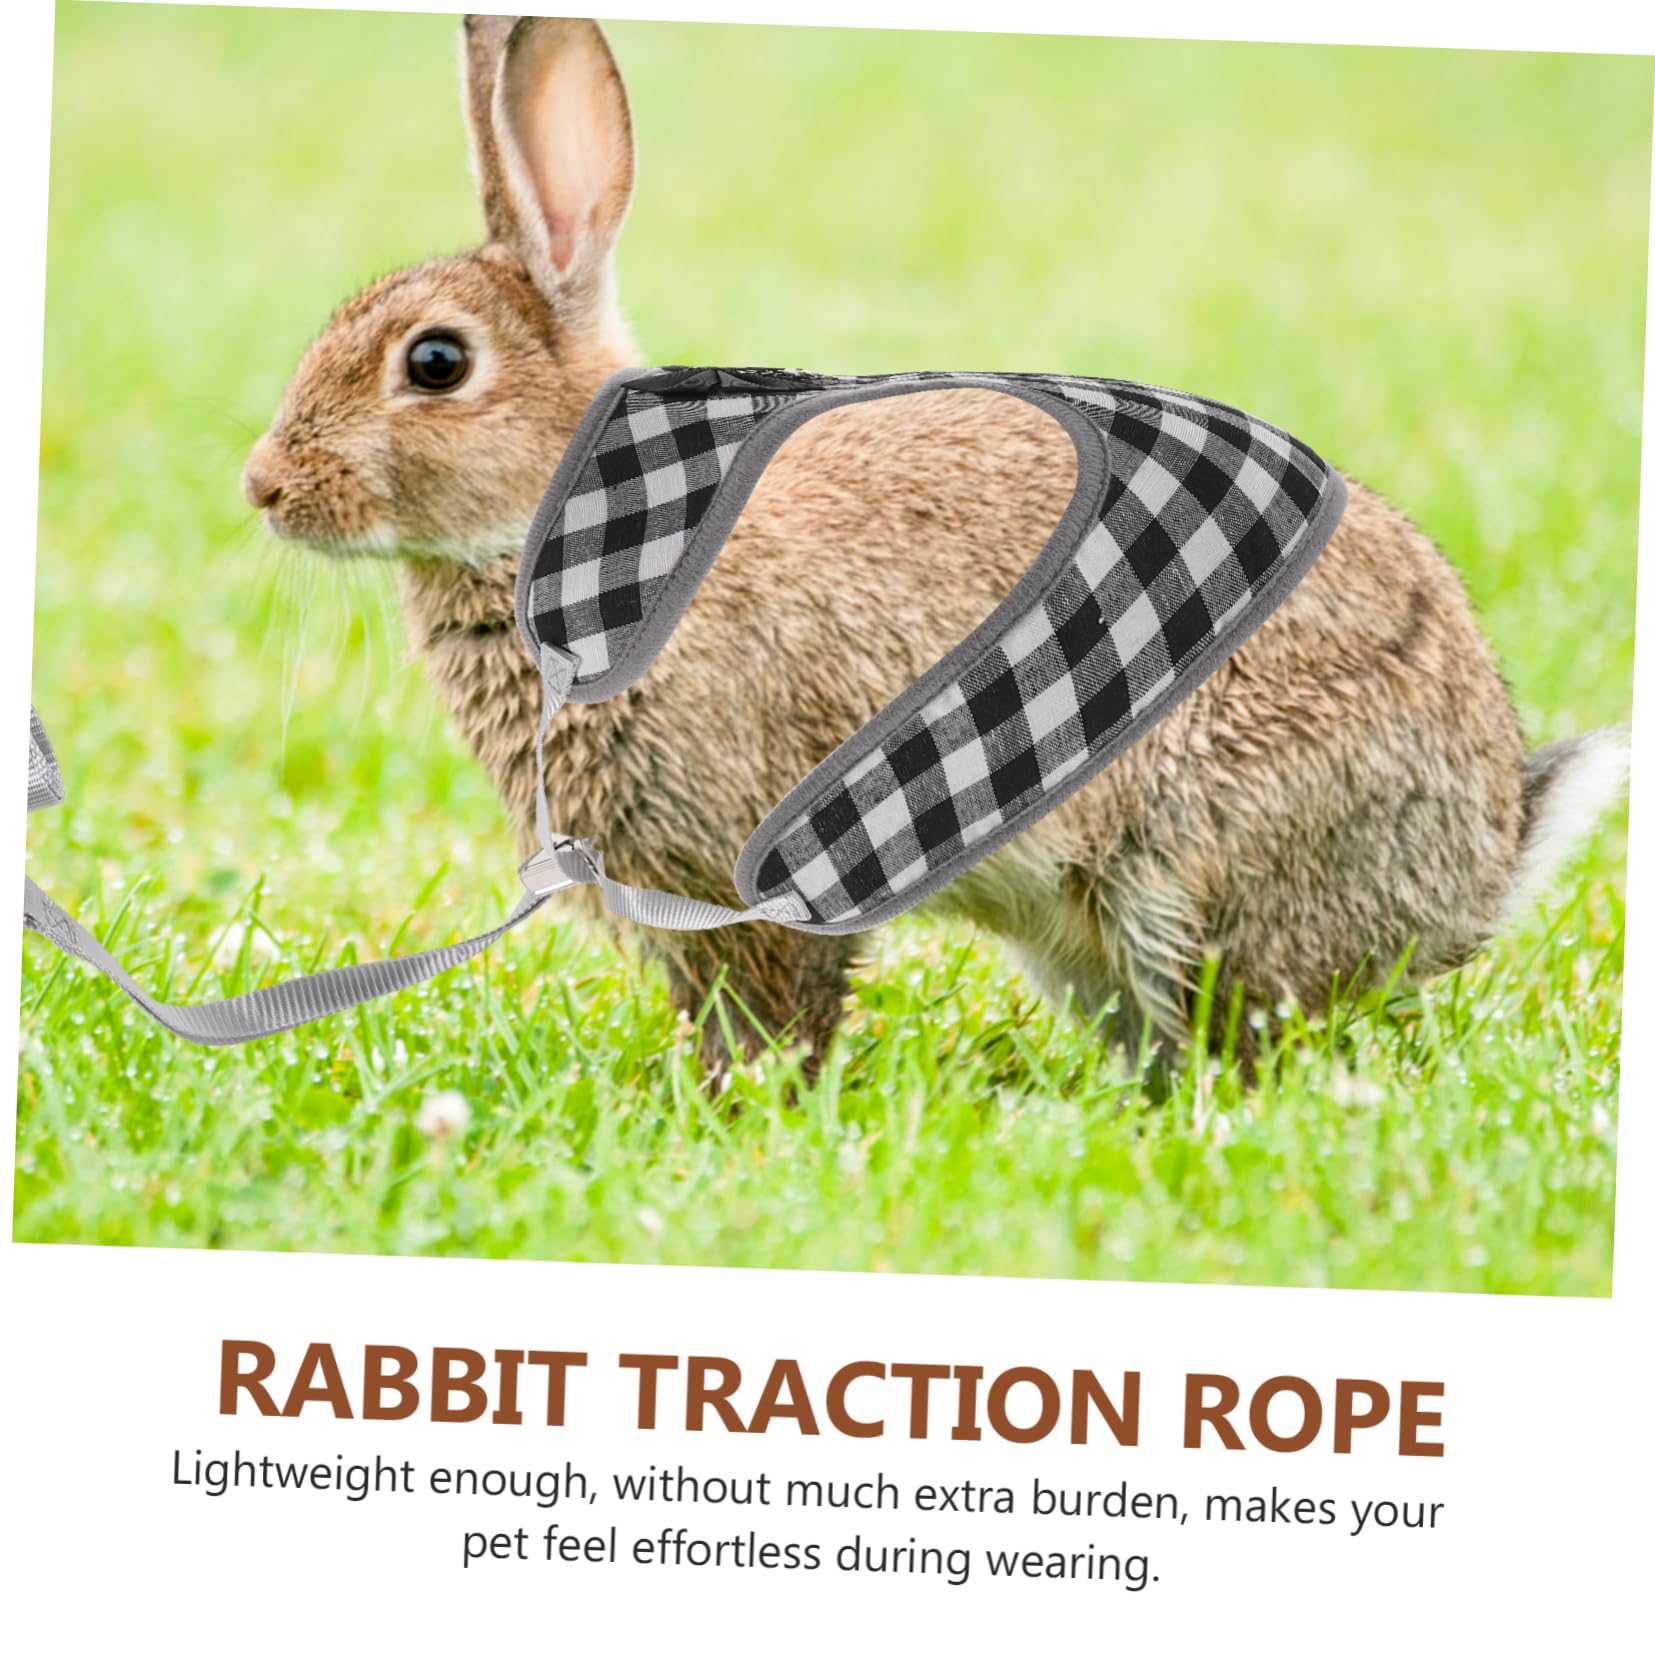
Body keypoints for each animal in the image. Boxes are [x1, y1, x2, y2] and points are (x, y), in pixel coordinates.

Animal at [242, 14, 1627, 1074]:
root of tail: (1481, 858)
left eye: (434, 363)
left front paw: (744, 1111)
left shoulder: (753, 869)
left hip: (1191, 872)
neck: (589, 517)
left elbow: (778, 1010)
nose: (262, 487)